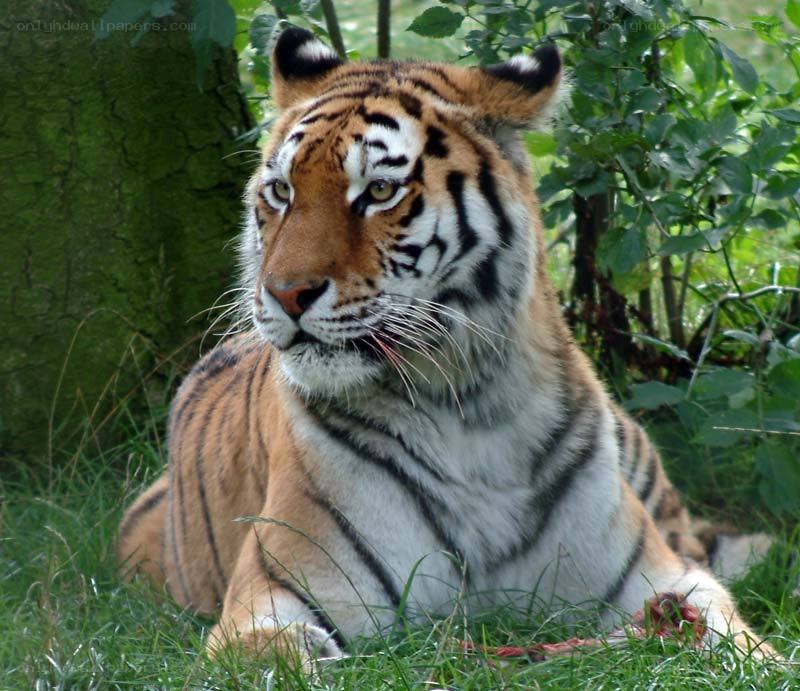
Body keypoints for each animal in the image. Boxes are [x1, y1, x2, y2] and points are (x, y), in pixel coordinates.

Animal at [117, 27, 775, 667]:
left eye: (379, 190)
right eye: (280, 191)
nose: (284, 294)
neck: (472, 405)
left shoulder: (662, 577)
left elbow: (741, 644)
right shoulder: (274, 592)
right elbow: (273, 655)